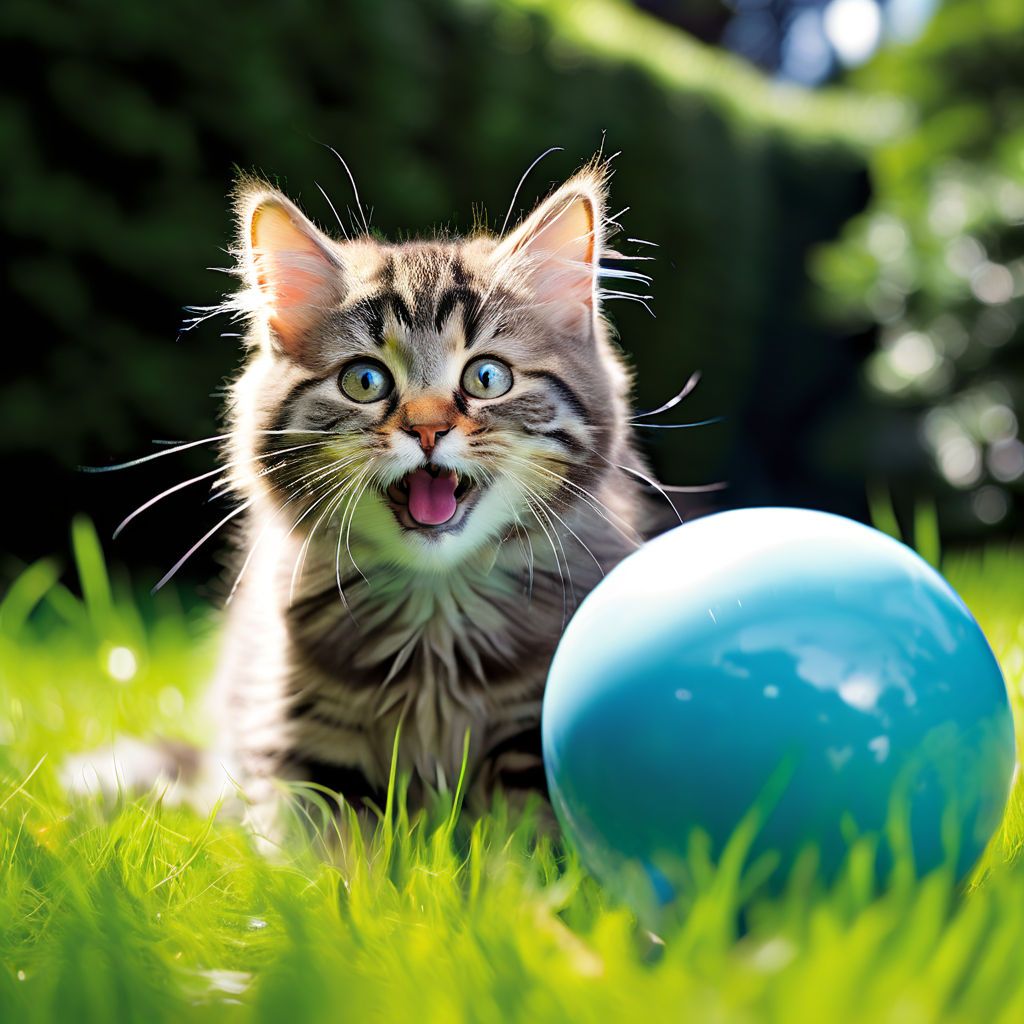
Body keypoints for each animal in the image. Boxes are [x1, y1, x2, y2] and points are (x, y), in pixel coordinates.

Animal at [74, 161, 655, 831]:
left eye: (487, 377)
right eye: (365, 381)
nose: (427, 430)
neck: (435, 616)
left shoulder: (527, 742)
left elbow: (521, 843)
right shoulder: (304, 744)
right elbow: (329, 850)